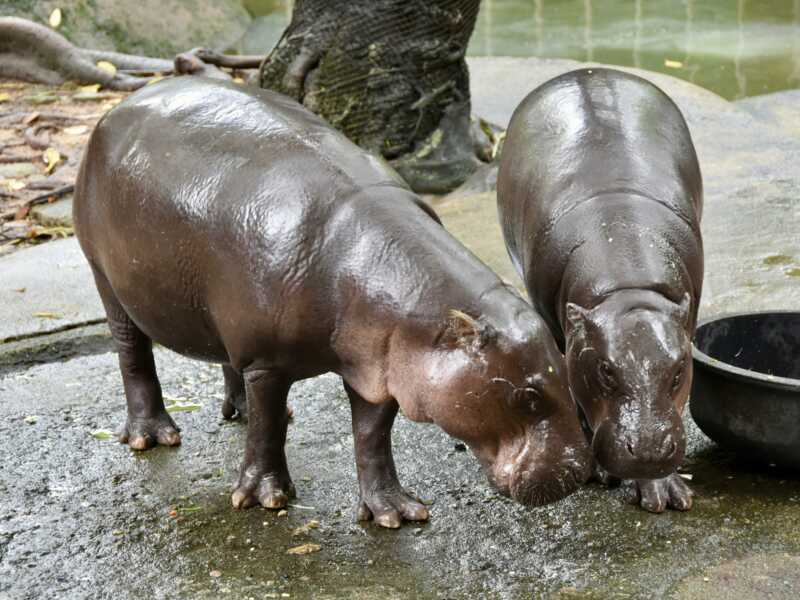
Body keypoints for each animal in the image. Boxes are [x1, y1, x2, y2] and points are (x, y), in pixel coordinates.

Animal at [73, 77, 591, 528]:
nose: (581, 473)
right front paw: (265, 498)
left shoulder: (377, 366)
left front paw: (395, 512)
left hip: (218, 318)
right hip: (104, 276)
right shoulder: (267, 362)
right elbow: (269, 430)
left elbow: (371, 437)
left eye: (567, 371)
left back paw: (237, 411)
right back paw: (152, 437)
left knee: (226, 362)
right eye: (526, 396)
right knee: (133, 354)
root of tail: (116, 109)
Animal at [497, 68, 703, 513]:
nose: (648, 452)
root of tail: (586, 71)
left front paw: (663, 492)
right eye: (606, 370)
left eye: (680, 369)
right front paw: (605, 473)